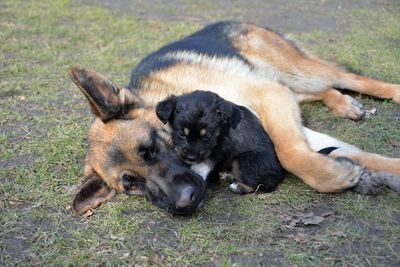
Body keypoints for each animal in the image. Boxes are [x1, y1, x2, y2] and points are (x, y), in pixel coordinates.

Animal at [69, 22, 400, 217]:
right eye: (132, 184)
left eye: (151, 146)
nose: (184, 202)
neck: (167, 95)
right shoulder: (276, 102)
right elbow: (350, 155)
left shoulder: (269, 96)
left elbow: (290, 152)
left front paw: (336, 176)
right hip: (290, 85)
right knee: (321, 91)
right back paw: (344, 104)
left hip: (296, 73)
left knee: (350, 78)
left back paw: (389, 92)